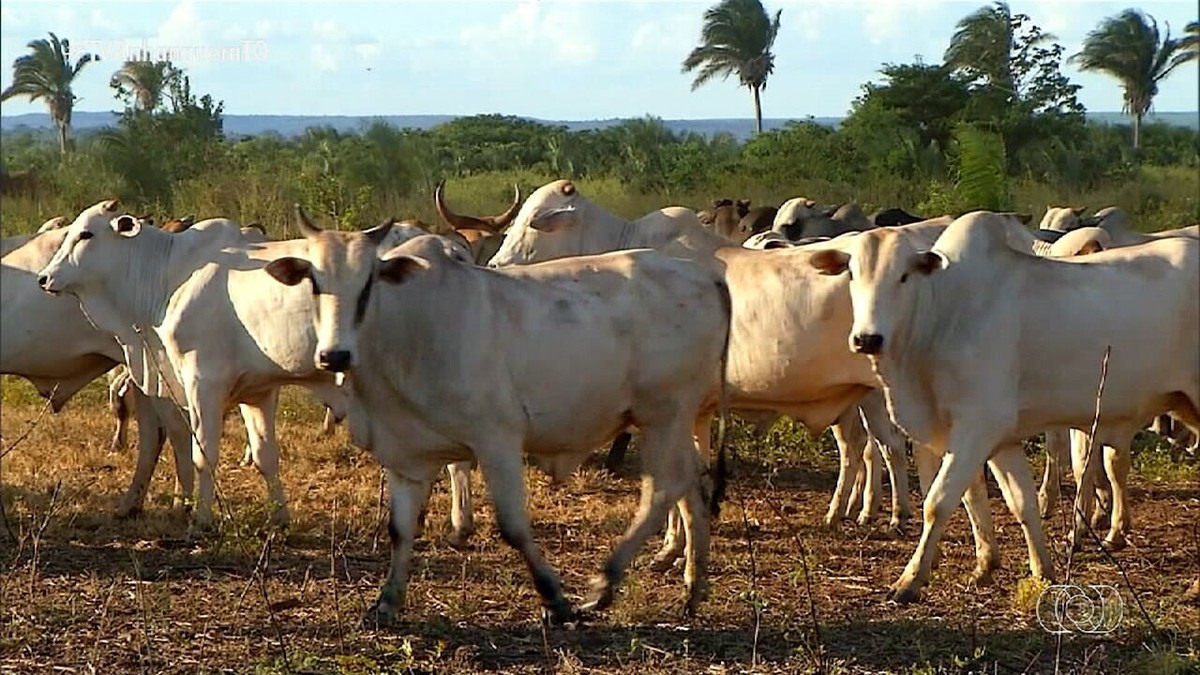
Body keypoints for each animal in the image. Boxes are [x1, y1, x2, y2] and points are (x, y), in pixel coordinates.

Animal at [262, 212, 729, 624]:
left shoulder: (497, 440)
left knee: (664, 487)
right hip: (674, 420)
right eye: (314, 282)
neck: (406, 330)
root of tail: (706, 276)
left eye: (368, 283)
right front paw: (385, 603)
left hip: (663, 413)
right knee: (691, 482)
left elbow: (513, 526)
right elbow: (400, 530)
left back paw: (605, 583)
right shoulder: (406, 455)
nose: (335, 356)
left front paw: (554, 597)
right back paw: (693, 588)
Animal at [806, 210, 1200, 598]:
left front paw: (910, 580)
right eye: (852, 274)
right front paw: (1021, 568)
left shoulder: (979, 425)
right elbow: (1015, 502)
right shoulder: (997, 439)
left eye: (903, 276)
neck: (943, 315)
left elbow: (939, 501)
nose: (867, 339)